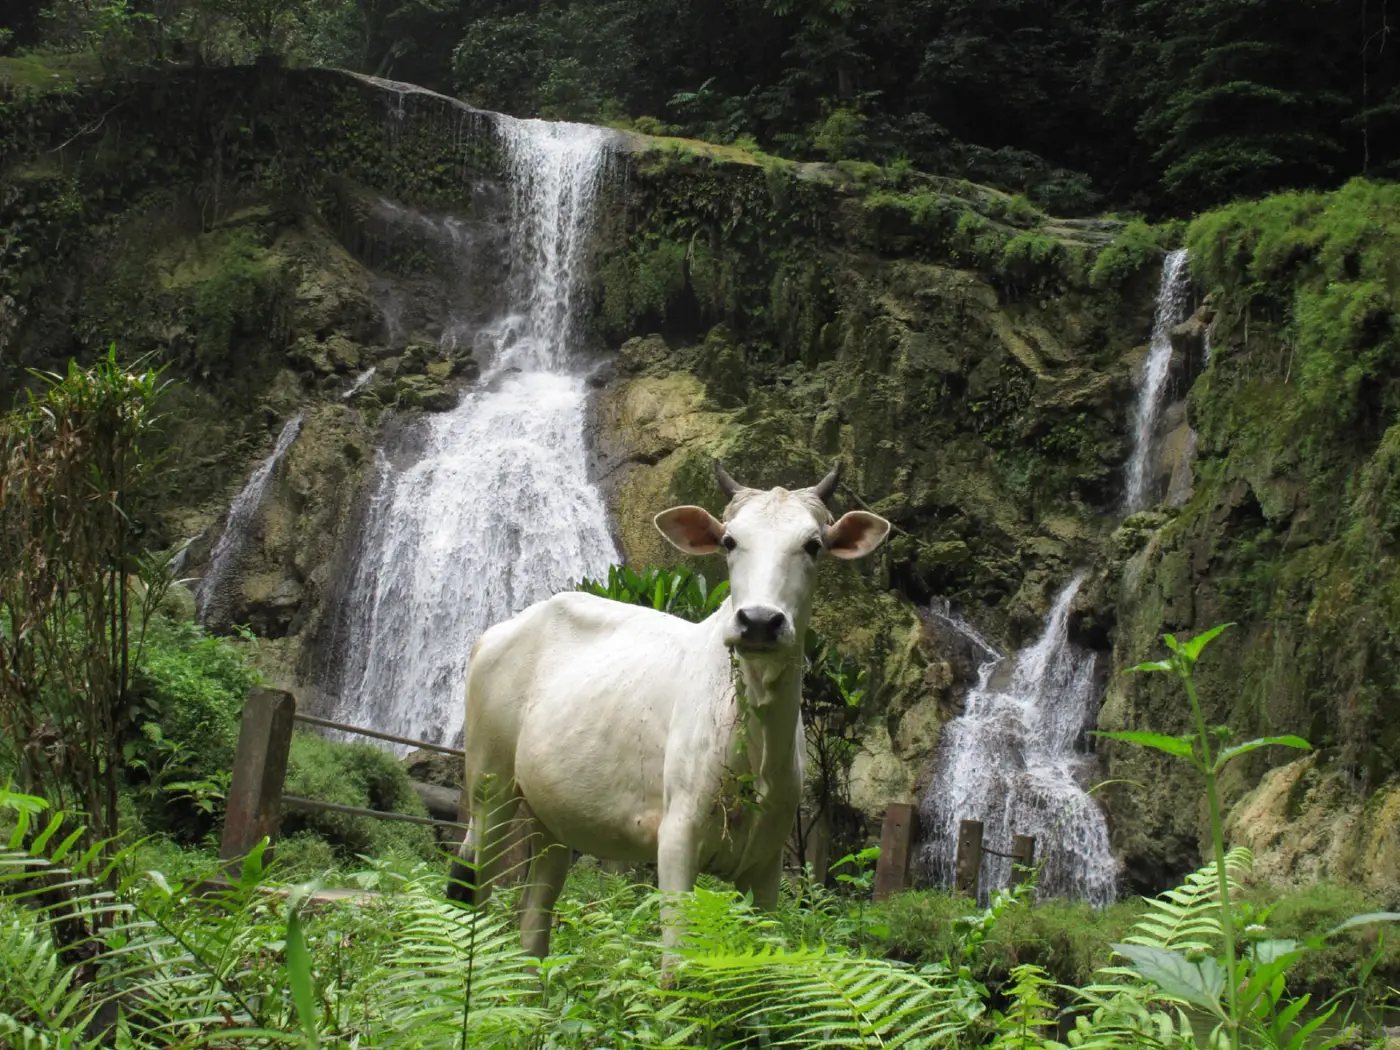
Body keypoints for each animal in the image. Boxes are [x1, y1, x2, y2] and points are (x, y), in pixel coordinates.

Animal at [446, 460, 891, 968]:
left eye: (813, 544)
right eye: (729, 541)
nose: (759, 621)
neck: (754, 736)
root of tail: (500, 630)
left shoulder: (767, 865)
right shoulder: (678, 838)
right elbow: (677, 966)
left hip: (551, 819)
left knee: (533, 922)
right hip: (489, 785)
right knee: (470, 885)